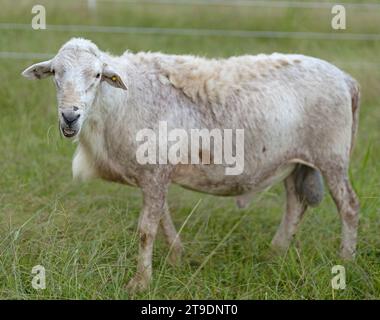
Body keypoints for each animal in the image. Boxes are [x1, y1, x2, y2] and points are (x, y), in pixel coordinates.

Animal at [22, 38, 360, 292]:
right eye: (55, 74)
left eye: (96, 76)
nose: (69, 116)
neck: (120, 103)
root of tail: (346, 80)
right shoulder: (153, 174)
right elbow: (162, 219)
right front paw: (176, 258)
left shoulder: (155, 171)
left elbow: (146, 229)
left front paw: (139, 283)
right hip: (293, 160)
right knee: (295, 206)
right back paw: (274, 254)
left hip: (332, 156)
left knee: (349, 207)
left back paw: (346, 259)